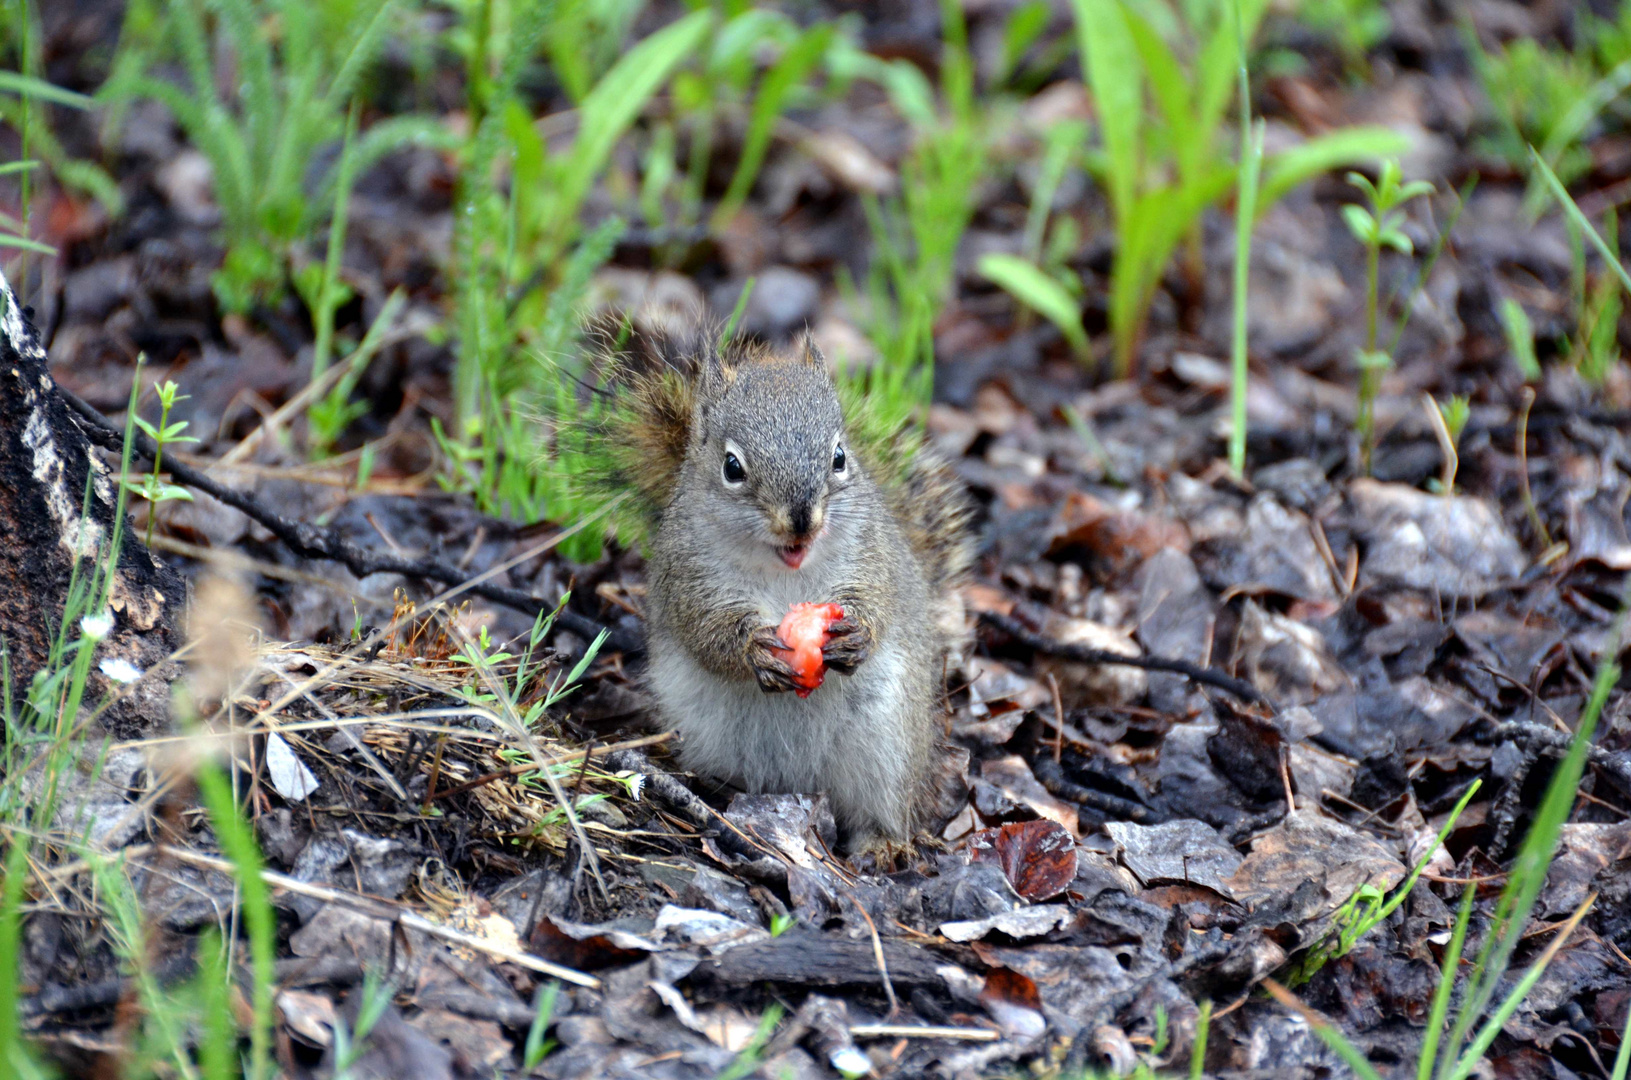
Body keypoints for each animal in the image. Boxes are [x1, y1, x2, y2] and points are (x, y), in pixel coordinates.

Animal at [593, 329, 972, 854]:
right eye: (732, 467)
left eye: (839, 457)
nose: (801, 519)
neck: (786, 570)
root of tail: (803, 782)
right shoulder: (688, 574)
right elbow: (706, 629)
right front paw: (754, 650)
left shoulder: (873, 552)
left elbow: (878, 598)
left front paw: (857, 634)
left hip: (889, 747)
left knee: (885, 808)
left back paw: (882, 845)